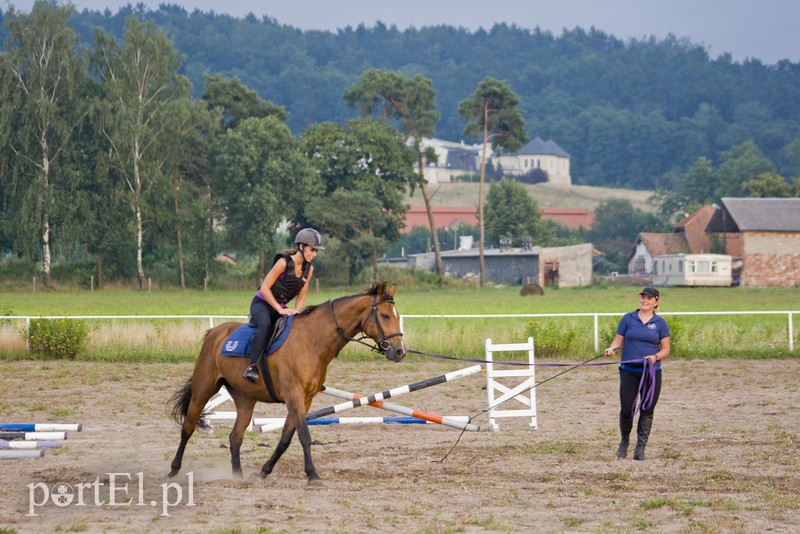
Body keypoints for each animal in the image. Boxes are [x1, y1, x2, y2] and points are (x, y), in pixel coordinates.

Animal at [168, 282, 406, 488]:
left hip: (245, 398)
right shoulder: (294, 396)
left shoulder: (305, 400)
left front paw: (263, 472)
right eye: (384, 315)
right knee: (188, 427)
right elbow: (304, 436)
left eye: (397, 316)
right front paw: (312, 475)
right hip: (204, 388)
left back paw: (237, 475)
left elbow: (285, 438)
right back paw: (173, 470)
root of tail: (215, 333)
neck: (312, 341)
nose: (399, 351)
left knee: (235, 437)